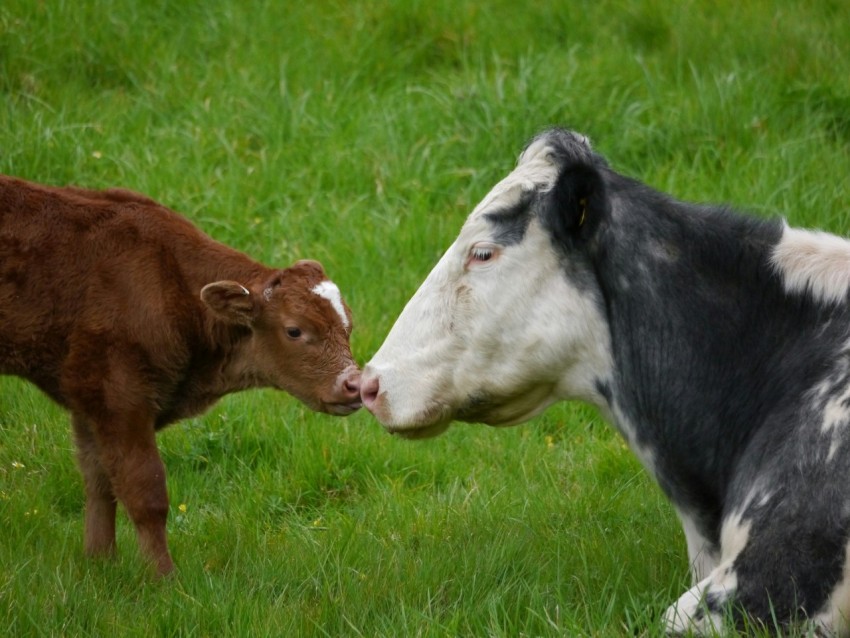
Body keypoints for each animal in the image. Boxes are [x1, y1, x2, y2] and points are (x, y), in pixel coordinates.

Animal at [0, 175, 362, 576]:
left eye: (348, 325)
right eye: (294, 330)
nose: (354, 385)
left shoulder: (86, 398)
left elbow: (99, 483)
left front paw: (99, 562)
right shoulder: (118, 396)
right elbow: (146, 493)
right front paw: (162, 577)